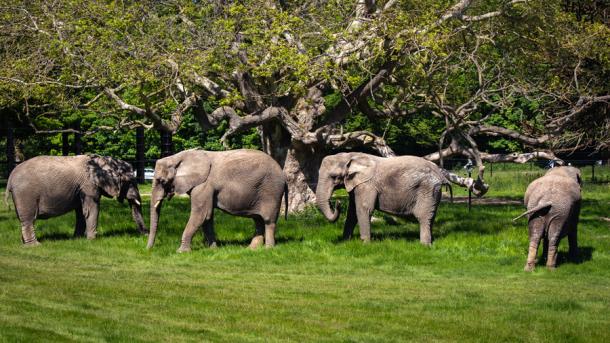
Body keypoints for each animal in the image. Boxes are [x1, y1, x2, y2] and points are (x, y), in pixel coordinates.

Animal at [4, 155, 147, 246]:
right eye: (130, 181)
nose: (145, 235)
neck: (101, 159)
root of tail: (10, 178)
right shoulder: (89, 185)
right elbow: (92, 209)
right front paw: (92, 240)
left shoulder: (81, 188)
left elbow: (81, 212)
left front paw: (78, 239)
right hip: (25, 194)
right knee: (29, 219)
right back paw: (35, 245)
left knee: (24, 220)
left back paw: (25, 244)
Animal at [148, 148, 288, 253]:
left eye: (161, 181)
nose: (149, 249)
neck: (177, 157)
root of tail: (283, 175)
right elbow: (207, 217)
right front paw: (213, 249)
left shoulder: (204, 185)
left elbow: (201, 215)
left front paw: (181, 252)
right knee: (258, 219)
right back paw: (251, 249)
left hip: (271, 191)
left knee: (268, 220)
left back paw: (268, 249)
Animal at [316, 153, 486, 245]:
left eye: (334, 177)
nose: (337, 203)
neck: (350, 155)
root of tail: (440, 174)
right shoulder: (357, 185)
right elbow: (352, 212)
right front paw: (346, 241)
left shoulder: (367, 184)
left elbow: (364, 209)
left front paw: (365, 243)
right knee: (430, 217)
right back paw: (430, 242)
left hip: (427, 189)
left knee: (423, 217)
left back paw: (424, 245)